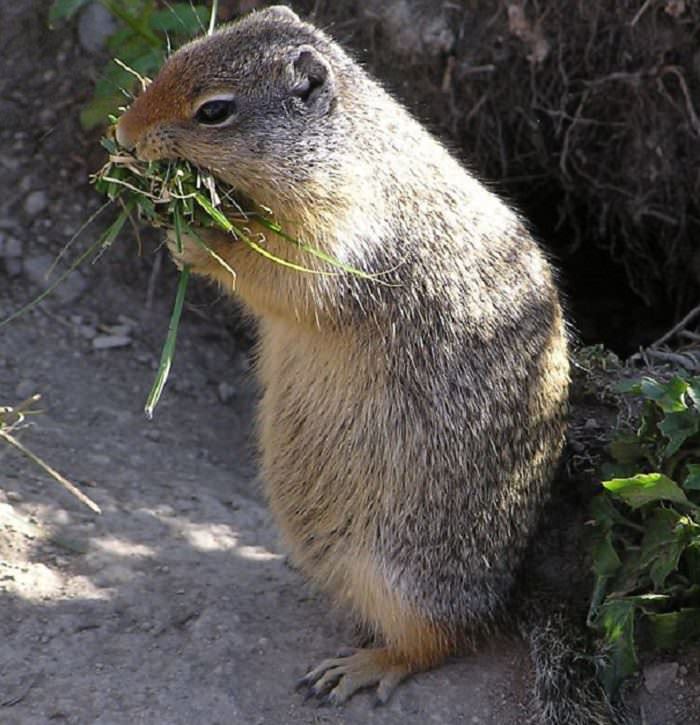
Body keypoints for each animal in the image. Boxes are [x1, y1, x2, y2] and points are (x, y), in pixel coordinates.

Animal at [116, 4, 568, 708]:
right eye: (173, 59)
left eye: (214, 111)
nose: (123, 133)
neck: (351, 149)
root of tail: (502, 598)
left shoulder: (341, 230)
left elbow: (279, 273)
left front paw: (191, 232)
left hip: (401, 570)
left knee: (439, 640)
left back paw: (356, 669)